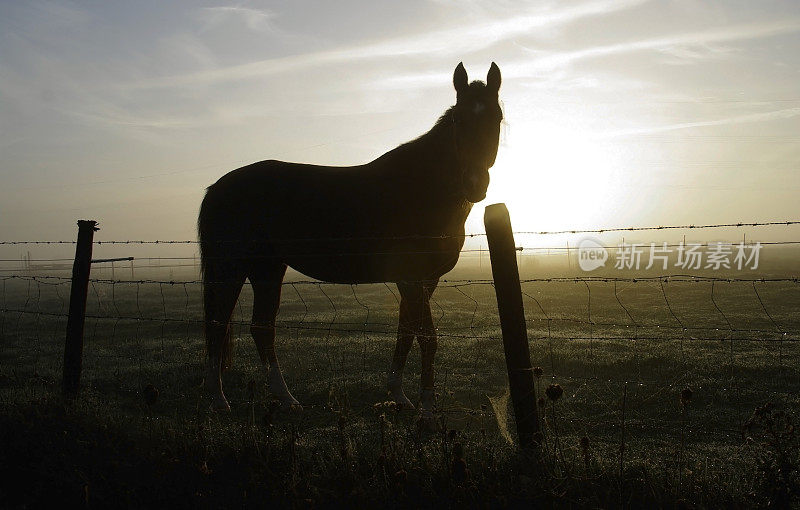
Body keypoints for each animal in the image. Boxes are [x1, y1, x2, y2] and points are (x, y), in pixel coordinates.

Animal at [198, 62, 500, 414]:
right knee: (218, 324)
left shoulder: (425, 279)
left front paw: (399, 395)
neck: (421, 186)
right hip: (230, 268)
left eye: (496, 118)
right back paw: (219, 399)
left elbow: (407, 332)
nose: (475, 184)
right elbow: (426, 336)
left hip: (267, 269)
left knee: (262, 328)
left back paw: (286, 398)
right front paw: (426, 403)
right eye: (458, 120)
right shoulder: (411, 277)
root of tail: (217, 187)